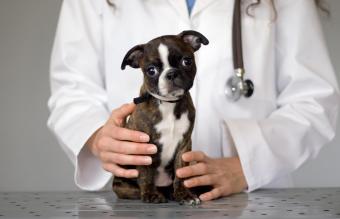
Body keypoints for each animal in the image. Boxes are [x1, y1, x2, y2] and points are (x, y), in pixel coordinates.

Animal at [113, 30, 209, 204]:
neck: (168, 104)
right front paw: (150, 194)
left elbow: (180, 172)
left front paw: (184, 194)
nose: (171, 73)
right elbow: (146, 173)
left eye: (187, 61)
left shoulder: (184, 144)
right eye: (151, 70)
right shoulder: (143, 146)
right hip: (123, 185)